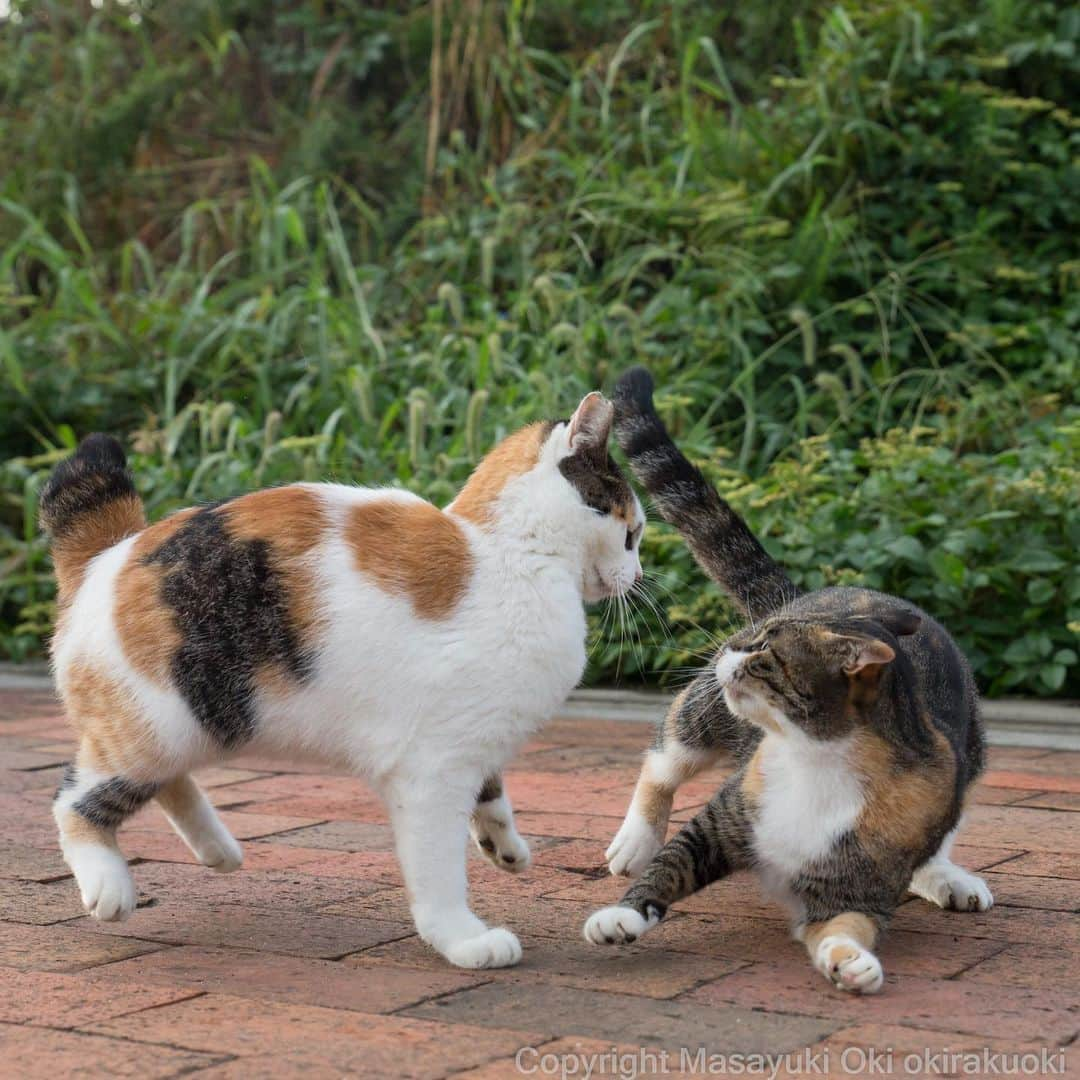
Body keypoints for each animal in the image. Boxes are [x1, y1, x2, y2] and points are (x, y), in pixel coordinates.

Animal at [42, 395, 643, 972]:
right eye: (633, 532)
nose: (637, 575)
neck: (510, 553)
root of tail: (105, 557)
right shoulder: (431, 770)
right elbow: (438, 868)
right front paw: (464, 939)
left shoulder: (473, 737)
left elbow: (491, 793)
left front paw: (504, 846)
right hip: (166, 720)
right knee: (75, 799)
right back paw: (110, 885)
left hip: (202, 724)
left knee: (164, 780)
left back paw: (219, 850)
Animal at [587, 369, 989, 993]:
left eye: (766, 650)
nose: (736, 644)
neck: (816, 761)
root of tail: (808, 592)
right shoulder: (722, 822)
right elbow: (668, 868)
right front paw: (621, 915)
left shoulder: (858, 879)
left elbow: (847, 923)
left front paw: (854, 962)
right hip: (705, 710)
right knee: (666, 756)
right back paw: (635, 839)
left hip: (970, 754)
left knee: (937, 843)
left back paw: (947, 878)